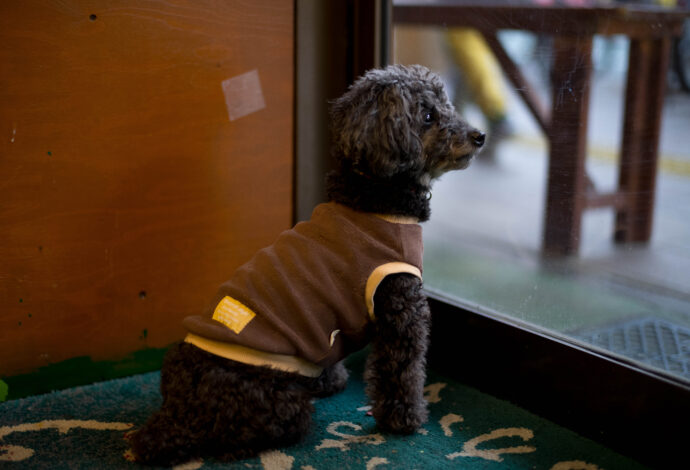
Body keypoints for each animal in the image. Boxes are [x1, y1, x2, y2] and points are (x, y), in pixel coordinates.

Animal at [129, 64, 484, 464]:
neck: (371, 197)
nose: (480, 135)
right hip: (282, 402)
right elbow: (403, 373)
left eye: (447, 104)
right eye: (427, 116)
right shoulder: (401, 310)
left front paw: (331, 380)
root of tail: (175, 414)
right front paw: (405, 421)